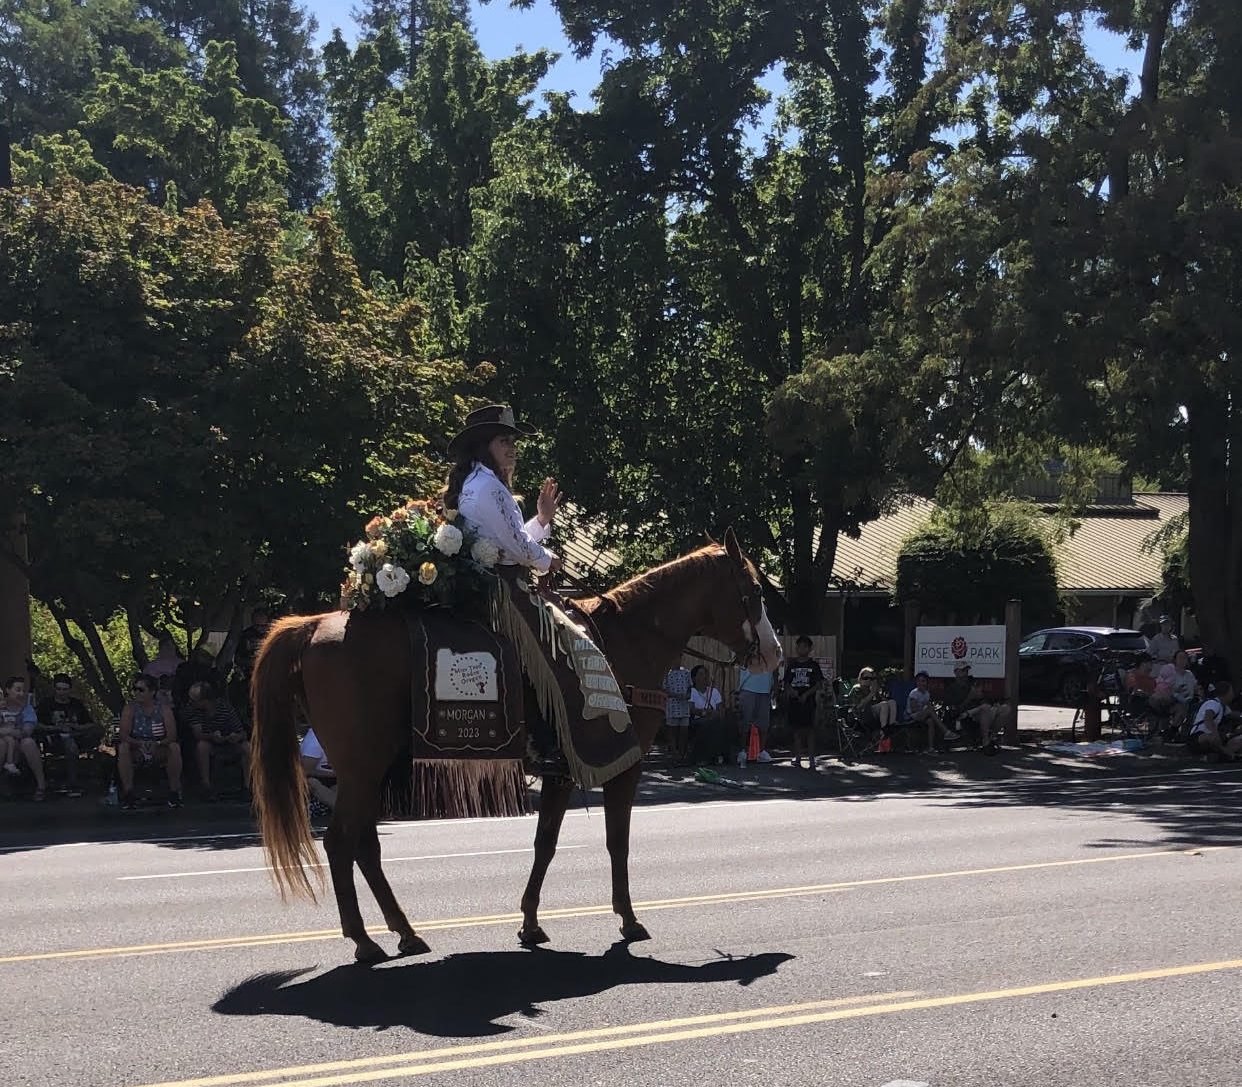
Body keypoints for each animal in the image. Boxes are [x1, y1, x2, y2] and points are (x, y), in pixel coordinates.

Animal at [249, 528, 782, 963]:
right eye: (754, 590)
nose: (773, 655)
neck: (626, 642)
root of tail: (314, 625)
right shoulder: (620, 765)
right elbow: (617, 841)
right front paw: (628, 919)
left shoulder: (561, 772)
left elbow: (545, 842)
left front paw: (530, 922)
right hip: (362, 768)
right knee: (341, 843)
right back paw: (363, 940)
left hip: (370, 771)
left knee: (365, 845)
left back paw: (405, 932)